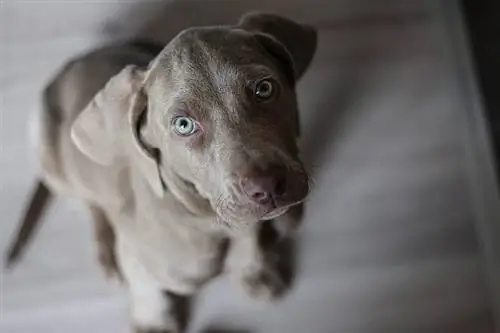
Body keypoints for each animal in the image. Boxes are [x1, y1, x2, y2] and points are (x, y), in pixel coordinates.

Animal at [4, 12, 316, 332]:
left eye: (264, 89)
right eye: (183, 125)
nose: (266, 186)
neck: (206, 220)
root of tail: (73, 62)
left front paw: (255, 272)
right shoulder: (139, 255)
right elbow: (146, 284)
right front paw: (153, 320)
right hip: (45, 147)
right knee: (90, 204)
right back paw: (107, 255)